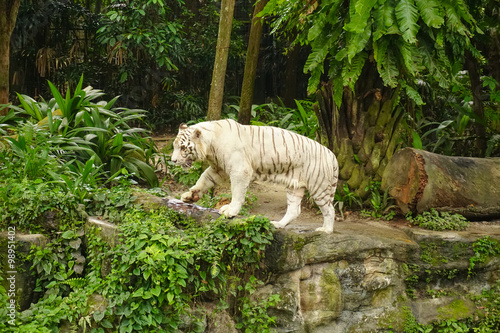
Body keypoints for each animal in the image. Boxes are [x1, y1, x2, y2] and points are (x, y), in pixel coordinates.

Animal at [172, 118, 340, 232]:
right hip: (295, 186)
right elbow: (203, 179)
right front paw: (190, 195)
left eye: (183, 148)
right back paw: (278, 224)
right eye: (174, 146)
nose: (173, 161)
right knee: (294, 210)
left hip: (319, 187)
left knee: (329, 210)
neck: (210, 147)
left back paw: (325, 230)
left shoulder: (240, 170)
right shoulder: (218, 169)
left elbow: (237, 193)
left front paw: (230, 211)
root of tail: (332, 155)